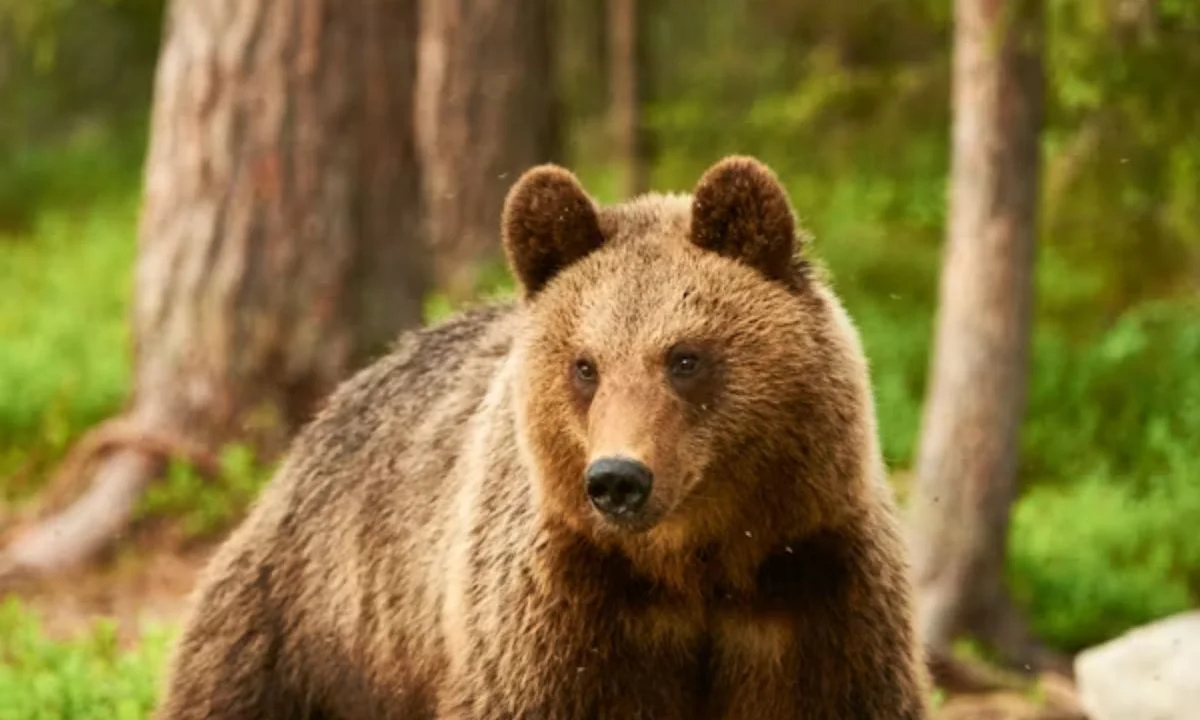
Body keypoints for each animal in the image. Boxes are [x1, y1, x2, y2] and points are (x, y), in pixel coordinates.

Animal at [155, 155, 931, 719]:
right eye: (585, 365)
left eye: (684, 357)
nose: (618, 478)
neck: (696, 568)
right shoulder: (562, 618)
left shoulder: (813, 594)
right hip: (307, 632)